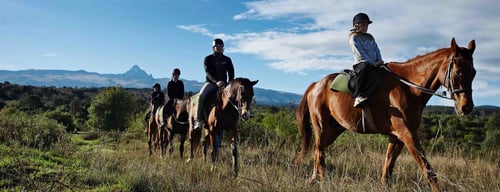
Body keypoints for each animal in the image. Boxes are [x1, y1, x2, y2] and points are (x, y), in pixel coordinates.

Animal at [294, 38, 478, 191]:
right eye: (458, 71)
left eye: (474, 72)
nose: (466, 107)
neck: (408, 87)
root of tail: (315, 85)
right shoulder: (407, 134)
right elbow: (427, 169)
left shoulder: (396, 137)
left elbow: (388, 166)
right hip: (322, 127)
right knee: (319, 153)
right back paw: (323, 181)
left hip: (334, 130)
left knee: (318, 151)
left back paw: (314, 180)